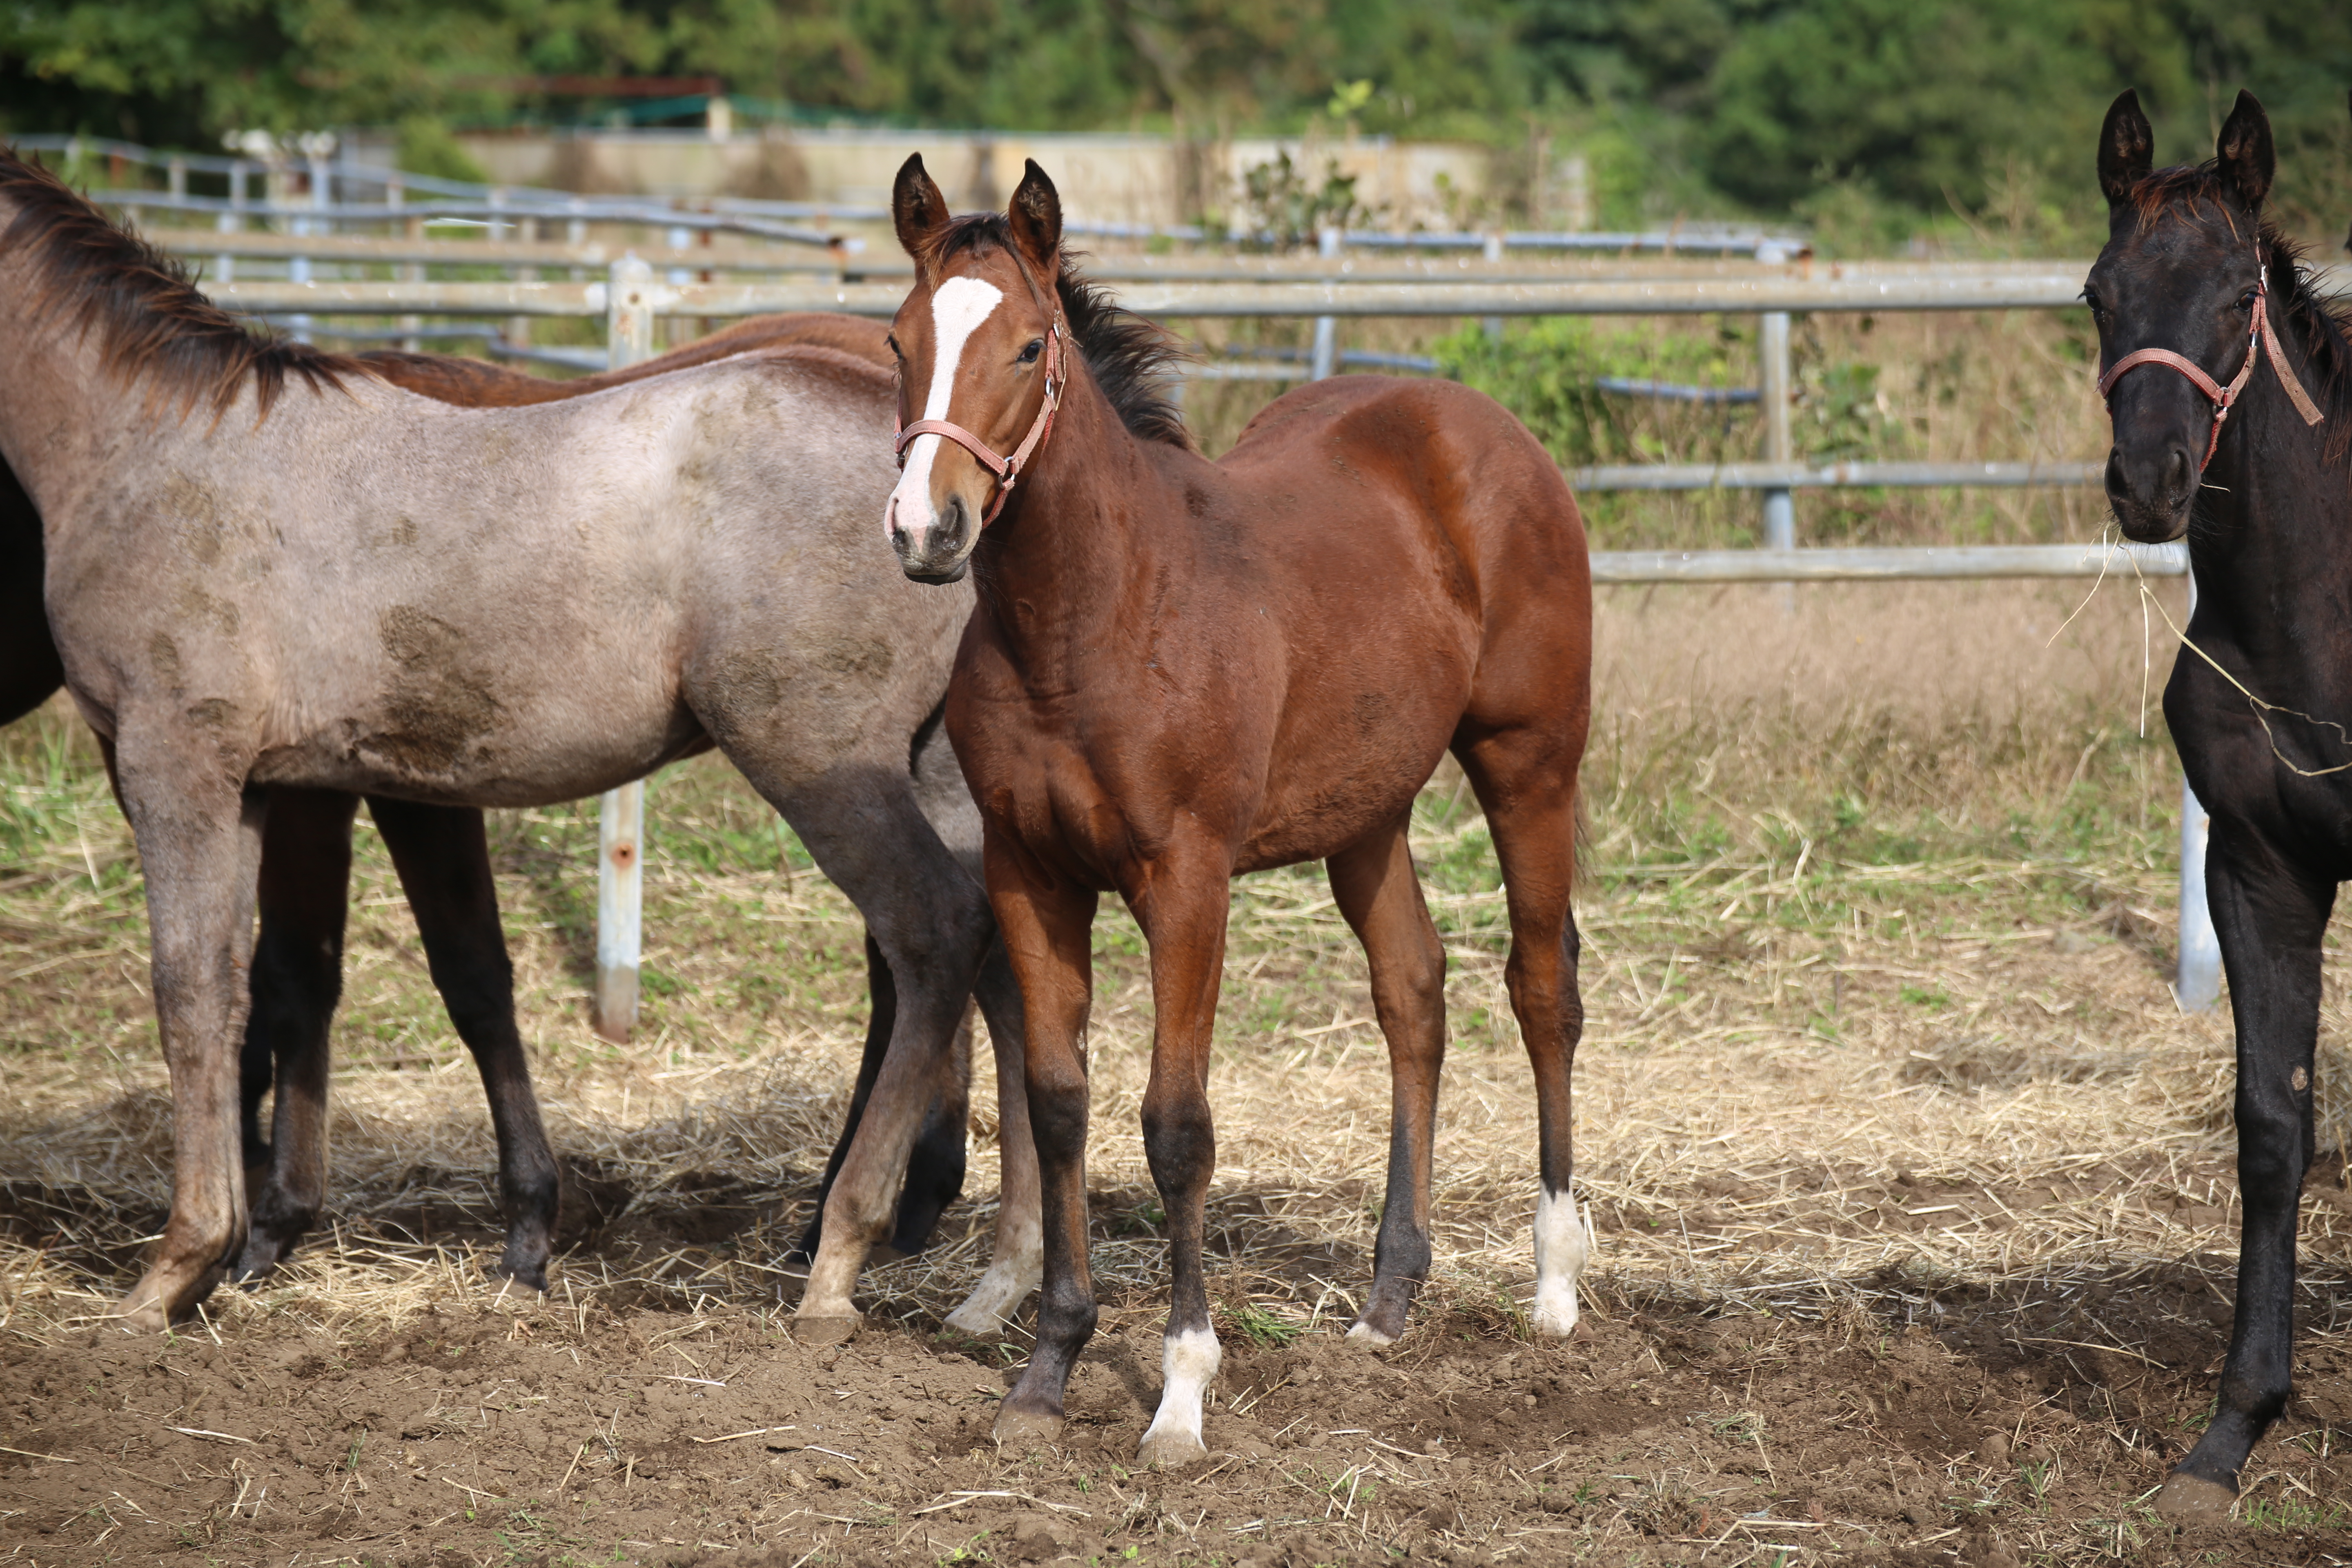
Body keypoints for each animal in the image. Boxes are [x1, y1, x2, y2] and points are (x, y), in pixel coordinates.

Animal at [884, 153, 1599, 1467]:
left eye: (1026, 346)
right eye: (899, 338)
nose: (924, 529)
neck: (1095, 617)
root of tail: (1478, 426)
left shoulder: (1186, 878)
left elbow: (1176, 1126)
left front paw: (1179, 1391)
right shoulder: (1029, 872)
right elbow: (1059, 1105)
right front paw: (1047, 1371)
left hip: (1530, 762)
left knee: (1541, 985)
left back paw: (1555, 1284)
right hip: (1366, 812)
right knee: (1412, 990)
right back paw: (1387, 1297)